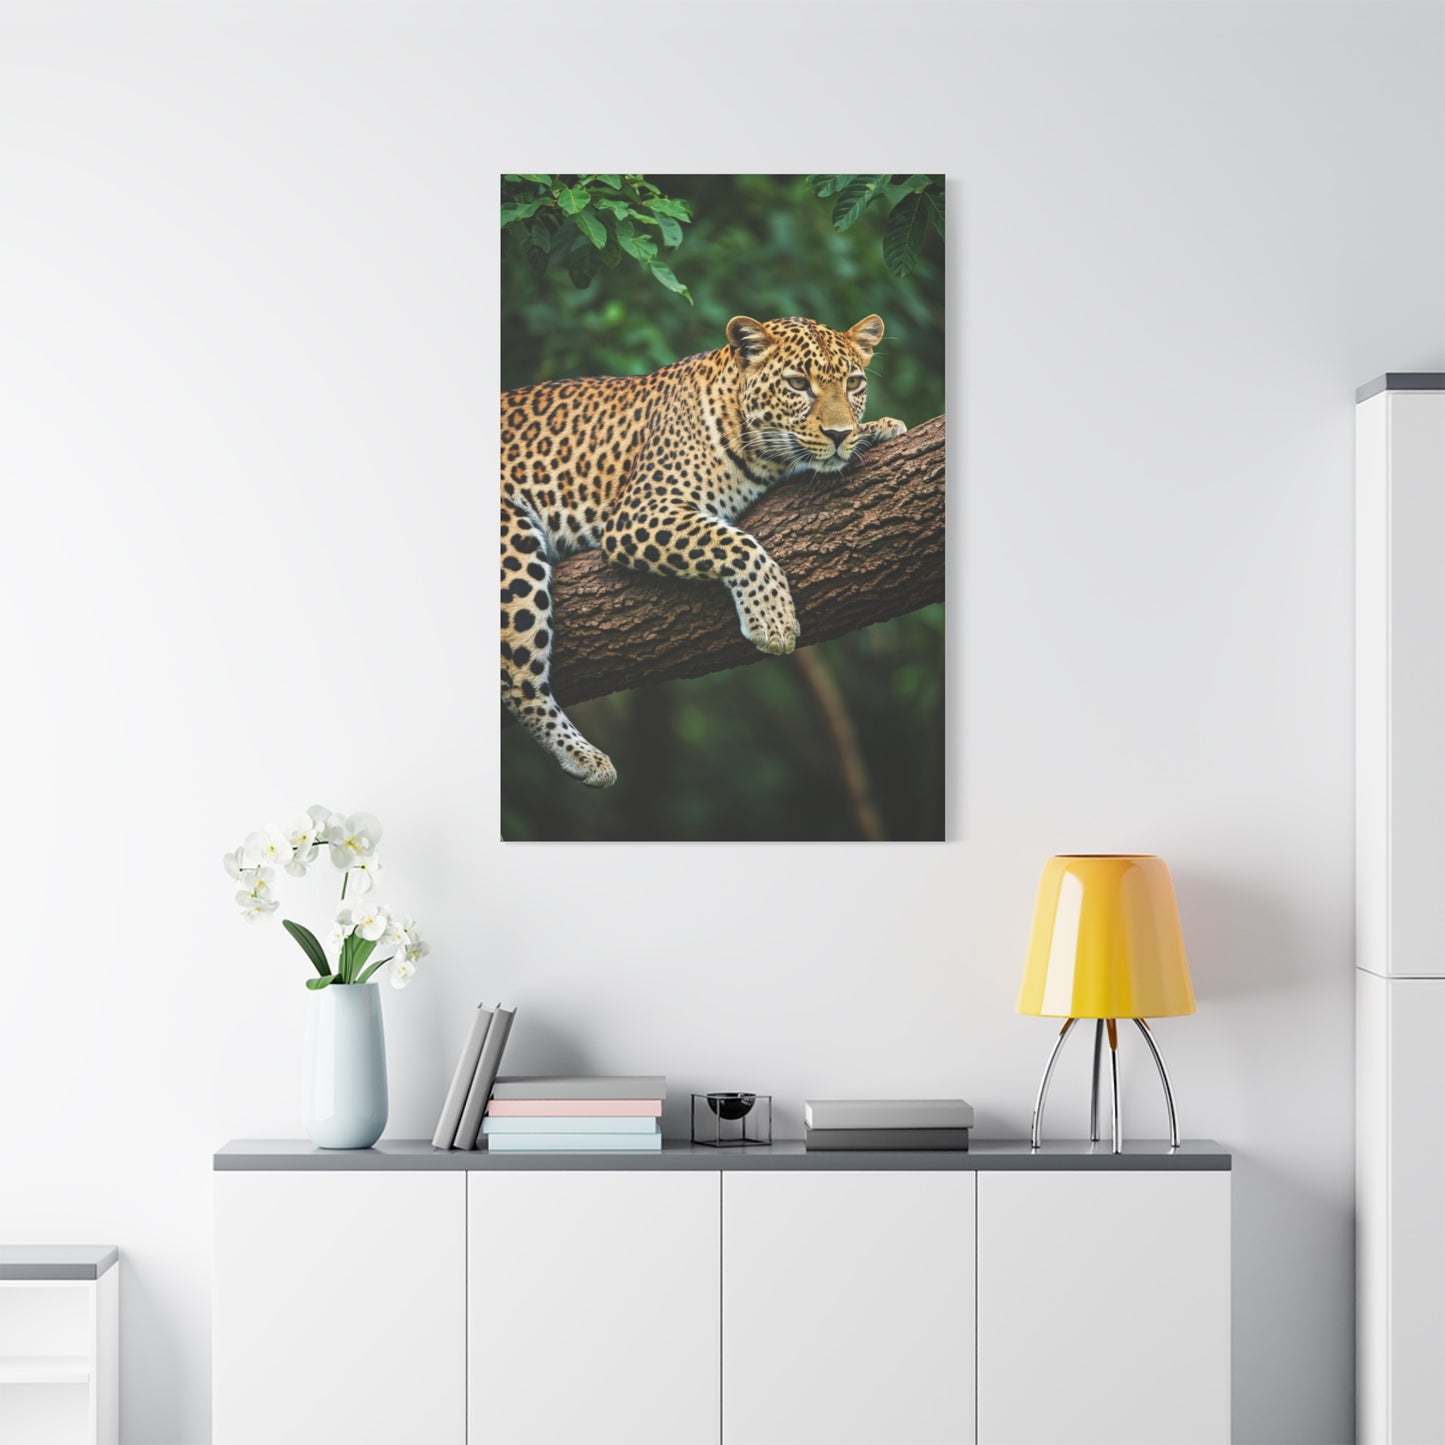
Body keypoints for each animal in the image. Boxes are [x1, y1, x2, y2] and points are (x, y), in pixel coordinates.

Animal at [500, 312, 907, 788]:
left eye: (854, 384)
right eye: (797, 384)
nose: (840, 434)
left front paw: (877, 429)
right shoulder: (640, 512)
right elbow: (738, 543)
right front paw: (773, 621)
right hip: (513, 549)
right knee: (518, 678)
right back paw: (583, 755)